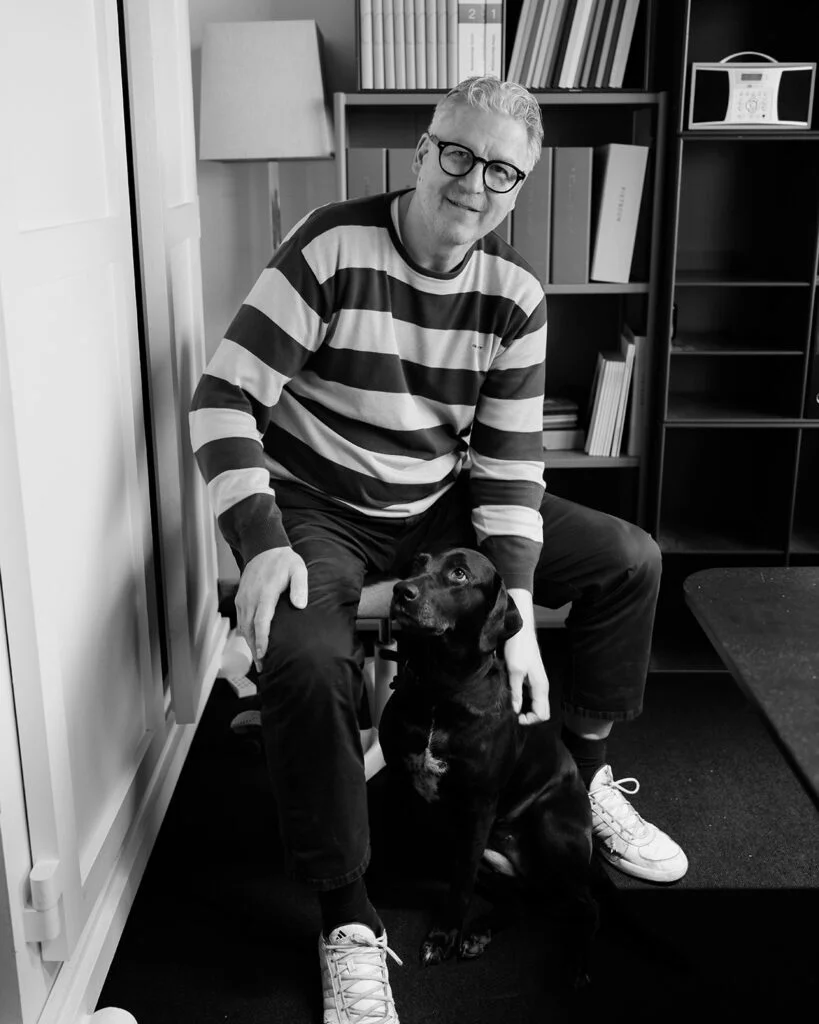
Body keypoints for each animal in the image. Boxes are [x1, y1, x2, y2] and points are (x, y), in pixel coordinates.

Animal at [378, 547, 598, 988]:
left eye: (459, 574)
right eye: (418, 563)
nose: (400, 591)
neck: (438, 689)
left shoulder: (478, 807)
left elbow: (459, 885)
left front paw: (443, 936)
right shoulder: (401, 784)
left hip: (550, 830)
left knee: (585, 903)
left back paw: (578, 962)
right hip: (485, 854)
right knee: (520, 900)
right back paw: (480, 932)